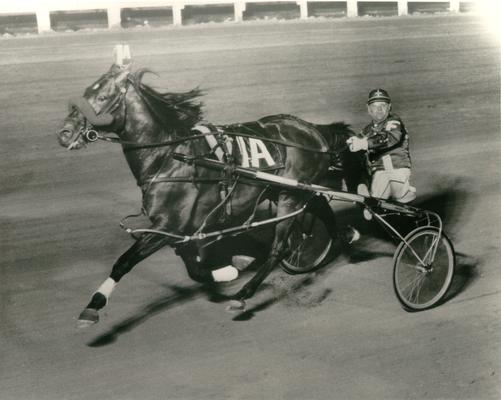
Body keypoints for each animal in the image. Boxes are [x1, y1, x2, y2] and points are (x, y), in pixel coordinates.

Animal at [56, 61, 364, 324]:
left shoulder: (168, 225)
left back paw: (243, 296)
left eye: (102, 96)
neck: (170, 156)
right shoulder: (180, 230)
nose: (64, 133)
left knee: (280, 247)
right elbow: (194, 267)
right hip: (288, 190)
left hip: (290, 196)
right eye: (86, 92)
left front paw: (93, 306)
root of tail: (312, 130)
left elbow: (125, 261)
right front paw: (230, 267)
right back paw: (344, 235)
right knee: (319, 206)